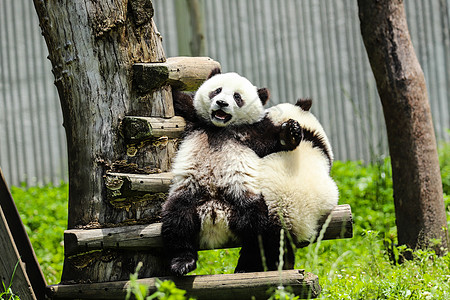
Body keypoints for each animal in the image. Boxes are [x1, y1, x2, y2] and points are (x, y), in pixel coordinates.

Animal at [162, 68, 302, 276]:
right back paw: (183, 262)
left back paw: (247, 266)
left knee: (257, 231)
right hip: (189, 194)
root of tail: (215, 214)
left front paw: (292, 131)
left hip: (245, 199)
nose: (222, 103)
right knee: (177, 222)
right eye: (217, 90)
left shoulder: (251, 132)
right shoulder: (193, 116)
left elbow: (275, 139)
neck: (220, 128)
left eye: (237, 97)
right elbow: (180, 100)